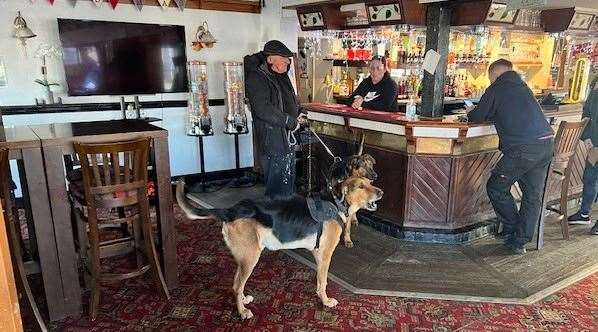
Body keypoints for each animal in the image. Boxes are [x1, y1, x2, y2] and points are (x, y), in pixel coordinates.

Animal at [178, 176, 384, 320]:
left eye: (369, 182)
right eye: (360, 186)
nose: (381, 192)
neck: (336, 202)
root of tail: (231, 210)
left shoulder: (318, 255)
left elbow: (319, 281)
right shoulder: (325, 256)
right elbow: (323, 283)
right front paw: (325, 301)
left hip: (244, 259)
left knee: (237, 285)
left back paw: (243, 300)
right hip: (250, 258)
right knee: (236, 285)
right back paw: (242, 312)